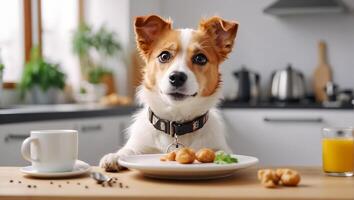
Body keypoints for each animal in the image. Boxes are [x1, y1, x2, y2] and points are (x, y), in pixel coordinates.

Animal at [99, 14, 238, 171]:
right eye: (164, 56)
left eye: (200, 58)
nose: (177, 77)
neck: (176, 124)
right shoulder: (140, 145)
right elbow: (129, 150)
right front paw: (115, 156)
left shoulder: (217, 145)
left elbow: (221, 151)